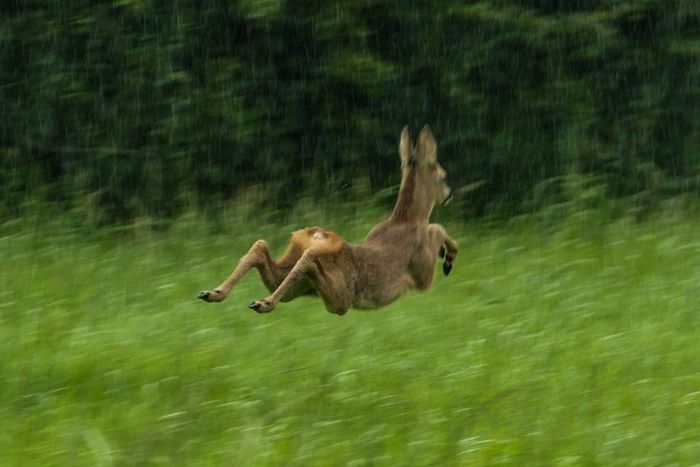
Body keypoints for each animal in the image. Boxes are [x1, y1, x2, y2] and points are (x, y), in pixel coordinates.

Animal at [197, 125, 458, 315]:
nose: (449, 195)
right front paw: (448, 258)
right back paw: (263, 303)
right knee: (309, 260)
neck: (407, 219)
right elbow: (438, 228)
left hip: (299, 285)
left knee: (261, 248)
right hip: (342, 298)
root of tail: (318, 236)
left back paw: (215, 293)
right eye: (443, 175)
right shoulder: (422, 276)